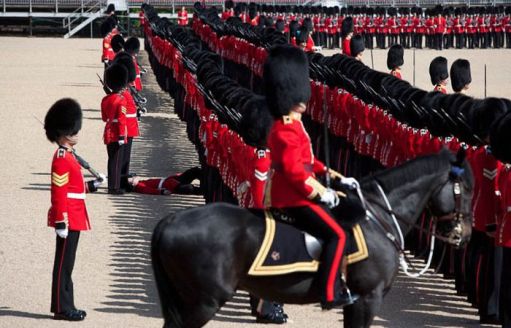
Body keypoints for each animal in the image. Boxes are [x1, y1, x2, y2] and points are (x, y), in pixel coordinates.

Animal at [152, 150, 476, 328]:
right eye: (467, 190)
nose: (464, 235)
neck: (378, 217)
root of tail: (171, 220)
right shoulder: (367, 298)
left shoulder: (357, 301)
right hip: (203, 302)